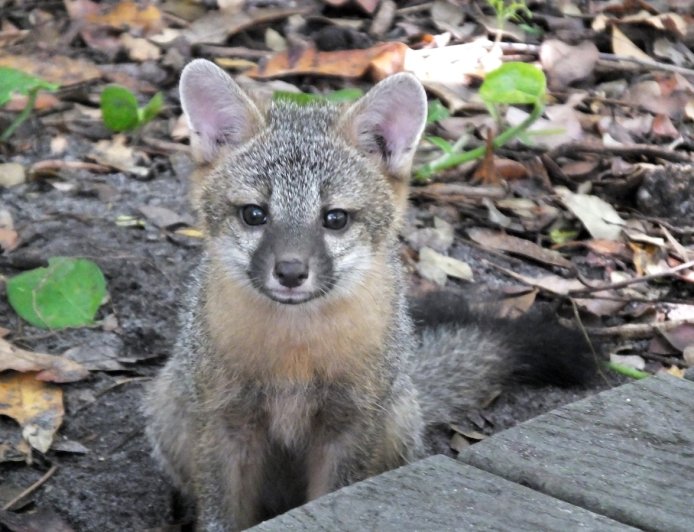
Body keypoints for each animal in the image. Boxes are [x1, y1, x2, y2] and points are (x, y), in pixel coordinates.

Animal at [144, 59, 598, 531]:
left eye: (335, 219)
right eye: (254, 214)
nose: (290, 272)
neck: (293, 359)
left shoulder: (351, 426)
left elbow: (333, 497)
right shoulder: (224, 422)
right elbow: (221, 514)